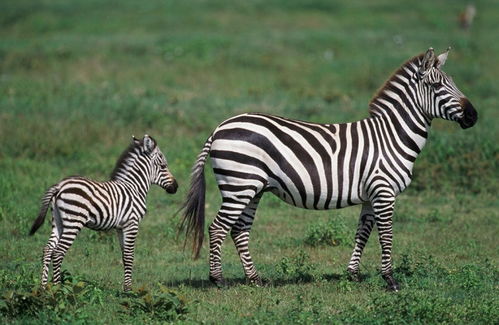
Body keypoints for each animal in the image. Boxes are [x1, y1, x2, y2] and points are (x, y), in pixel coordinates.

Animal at [29, 134, 178, 292]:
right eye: (163, 166)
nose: (176, 187)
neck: (134, 187)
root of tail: (59, 186)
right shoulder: (132, 223)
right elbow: (130, 256)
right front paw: (129, 290)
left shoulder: (121, 227)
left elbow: (124, 256)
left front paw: (125, 287)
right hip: (73, 222)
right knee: (58, 253)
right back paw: (59, 289)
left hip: (58, 221)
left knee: (47, 250)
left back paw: (43, 287)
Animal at [182, 47, 478, 288]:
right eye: (437, 86)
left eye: (453, 83)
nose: (473, 116)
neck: (392, 136)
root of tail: (220, 126)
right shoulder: (384, 191)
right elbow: (386, 235)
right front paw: (390, 279)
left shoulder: (371, 195)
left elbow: (363, 233)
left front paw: (353, 274)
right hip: (240, 185)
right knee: (218, 228)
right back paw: (218, 280)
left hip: (252, 188)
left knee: (239, 231)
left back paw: (255, 279)